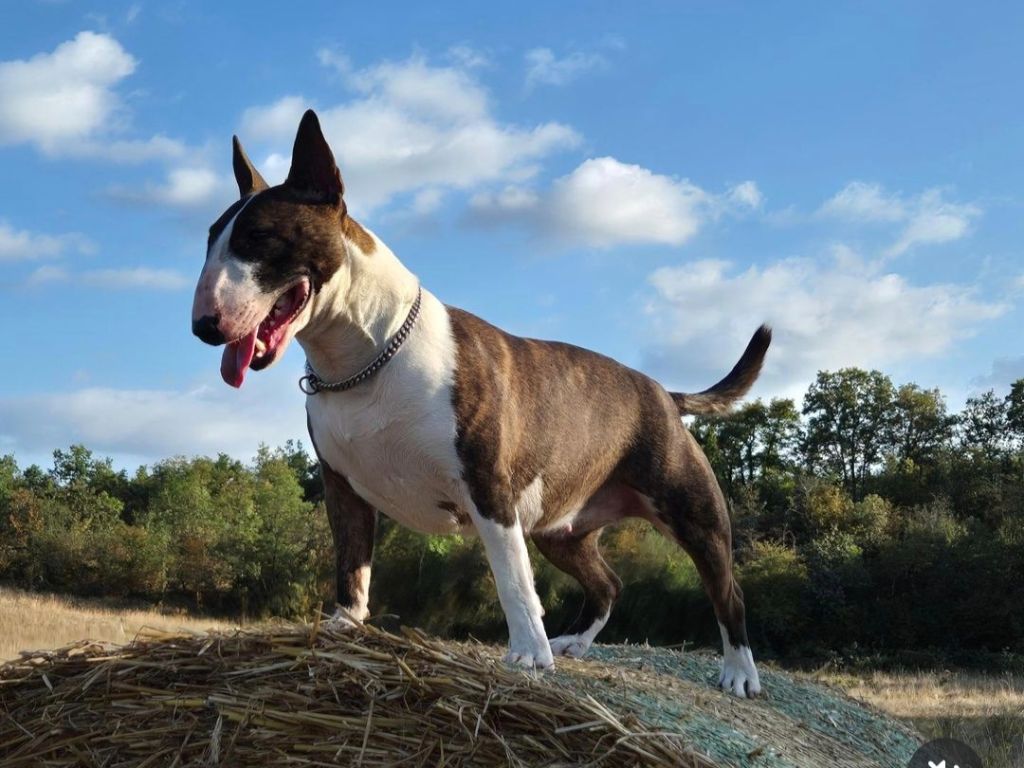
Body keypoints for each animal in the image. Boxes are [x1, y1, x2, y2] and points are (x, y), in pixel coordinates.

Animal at [190, 109, 770, 704]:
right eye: (209, 240)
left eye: (259, 237)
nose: (203, 326)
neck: (366, 356)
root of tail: (663, 393)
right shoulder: (342, 487)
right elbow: (351, 566)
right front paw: (342, 629)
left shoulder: (488, 486)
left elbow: (512, 579)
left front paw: (528, 656)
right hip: (560, 529)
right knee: (609, 583)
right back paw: (574, 644)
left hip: (693, 514)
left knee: (728, 593)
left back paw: (738, 674)